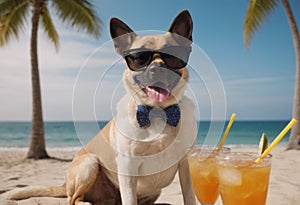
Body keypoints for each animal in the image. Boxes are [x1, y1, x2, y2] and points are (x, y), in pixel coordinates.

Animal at [1, 10, 197, 205]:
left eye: (172, 56)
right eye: (140, 59)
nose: (157, 69)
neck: (158, 112)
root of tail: (64, 184)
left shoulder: (185, 164)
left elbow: (188, 195)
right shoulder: (127, 165)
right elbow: (129, 198)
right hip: (90, 162)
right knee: (73, 199)